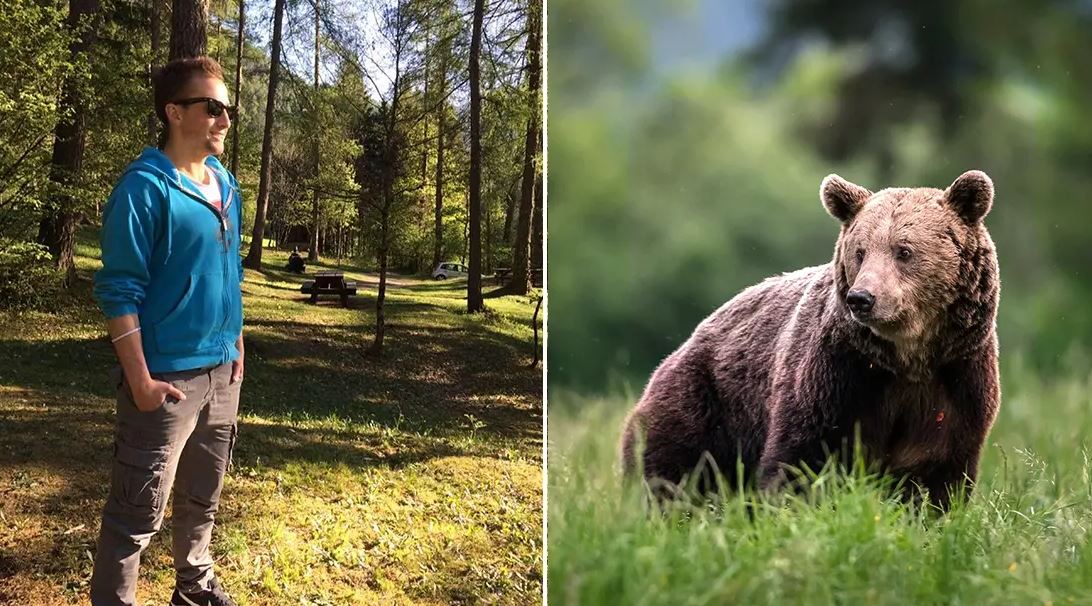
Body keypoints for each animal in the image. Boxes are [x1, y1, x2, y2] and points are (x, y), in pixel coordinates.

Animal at [620, 169, 1000, 506]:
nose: (862, 298)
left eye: (903, 250)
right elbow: (801, 459)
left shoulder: (955, 383)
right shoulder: (837, 377)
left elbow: (933, 475)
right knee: (673, 473)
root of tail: (682, 346)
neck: (906, 359)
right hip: (705, 403)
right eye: (860, 251)